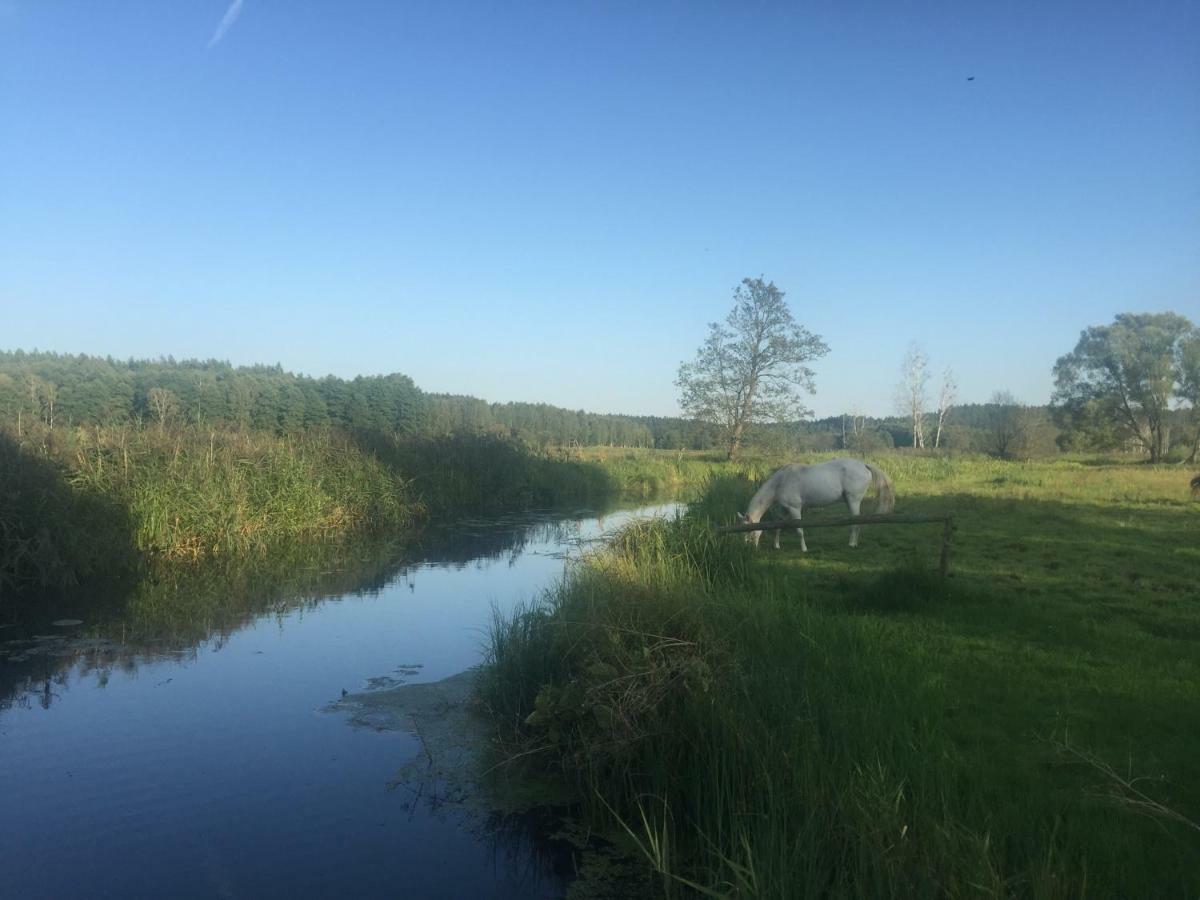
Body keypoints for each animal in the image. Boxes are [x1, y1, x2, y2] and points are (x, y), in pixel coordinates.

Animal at [734, 460, 897, 554]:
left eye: (748, 530)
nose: (746, 548)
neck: (780, 482)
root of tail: (864, 465)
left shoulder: (795, 509)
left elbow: (799, 530)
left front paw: (804, 549)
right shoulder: (783, 510)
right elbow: (778, 527)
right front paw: (776, 546)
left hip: (853, 501)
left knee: (855, 523)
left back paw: (851, 544)